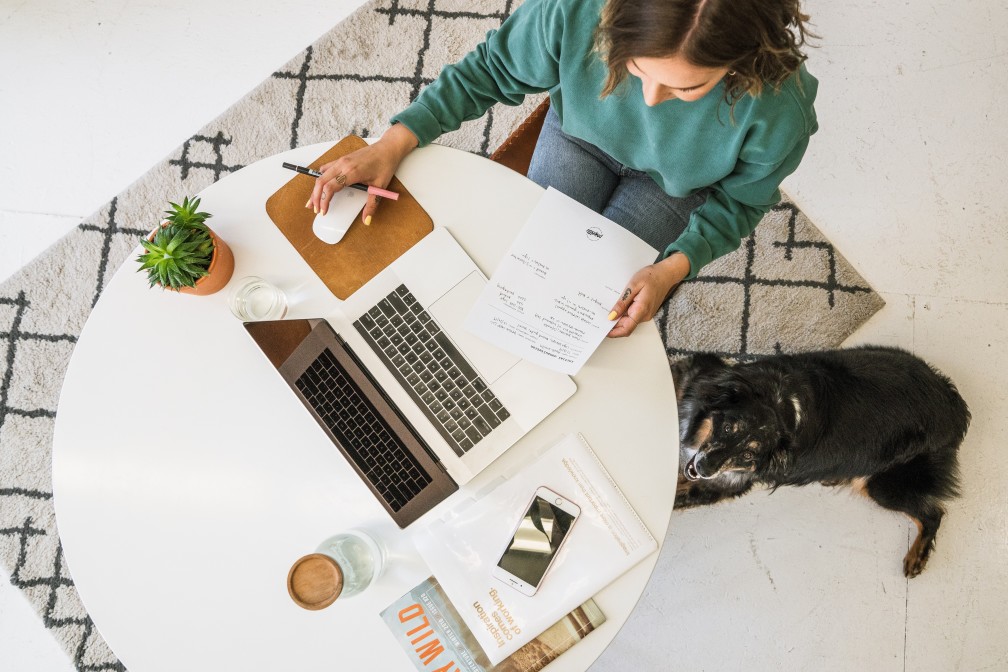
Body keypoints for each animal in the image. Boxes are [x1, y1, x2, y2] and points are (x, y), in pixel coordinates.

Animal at [673, 346, 971, 580]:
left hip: (883, 485)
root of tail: (954, 406)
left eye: (749, 455)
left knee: (933, 514)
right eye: (728, 428)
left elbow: (679, 497)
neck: (779, 404)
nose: (703, 468)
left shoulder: (727, 483)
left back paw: (916, 558)